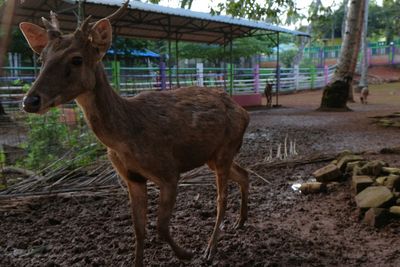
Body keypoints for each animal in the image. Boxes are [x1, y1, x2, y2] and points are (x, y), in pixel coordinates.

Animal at [19, 2, 250, 267]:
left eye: (77, 59)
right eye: (41, 58)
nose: (30, 101)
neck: (125, 137)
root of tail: (244, 112)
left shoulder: (169, 172)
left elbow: (160, 227)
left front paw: (186, 253)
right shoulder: (132, 178)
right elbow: (138, 229)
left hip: (225, 149)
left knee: (221, 198)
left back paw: (210, 249)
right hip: (212, 156)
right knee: (243, 175)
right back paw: (240, 222)